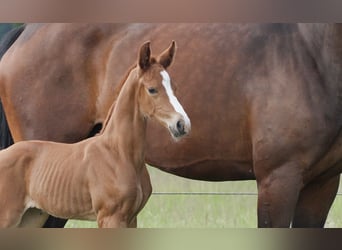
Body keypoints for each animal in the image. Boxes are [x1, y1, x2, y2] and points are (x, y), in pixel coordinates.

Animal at [0, 41, 190, 229]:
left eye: (174, 88)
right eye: (152, 89)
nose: (182, 124)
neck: (119, 153)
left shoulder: (131, 219)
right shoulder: (110, 217)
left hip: (31, 217)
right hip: (8, 217)